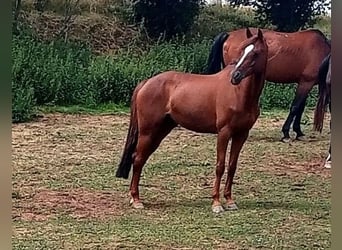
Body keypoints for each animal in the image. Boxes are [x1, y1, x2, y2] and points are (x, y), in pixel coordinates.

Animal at [116, 28, 268, 213]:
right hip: (147, 132)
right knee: (137, 159)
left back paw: (134, 197)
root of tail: (146, 82)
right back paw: (136, 199)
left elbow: (232, 166)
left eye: (256, 53)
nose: (235, 76)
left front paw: (230, 201)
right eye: (241, 51)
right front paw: (216, 203)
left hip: (160, 131)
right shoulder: (224, 133)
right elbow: (220, 166)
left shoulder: (241, 134)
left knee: (140, 158)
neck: (240, 93)